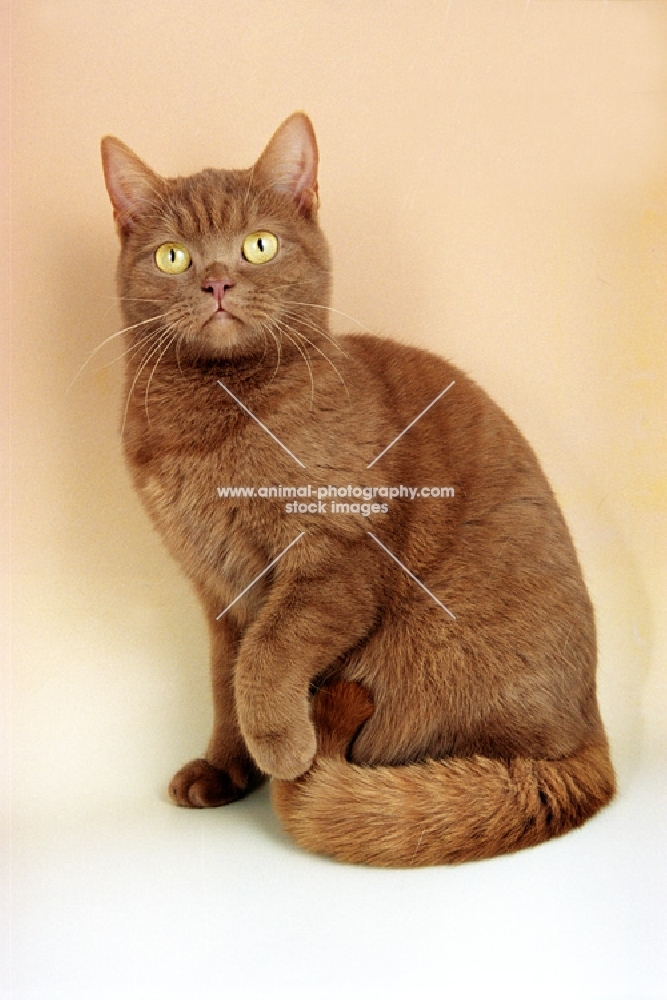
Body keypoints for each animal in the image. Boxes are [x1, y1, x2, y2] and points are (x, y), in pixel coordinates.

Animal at [102, 113, 620, 868]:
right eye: (173, 257)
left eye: (259, 245)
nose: (218, 282)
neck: (214, 423)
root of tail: (593, 737)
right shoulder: (216, 588)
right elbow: (225, 679)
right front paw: (227, 769)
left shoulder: (334, 557)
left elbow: (267, 654)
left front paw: (281, 748)